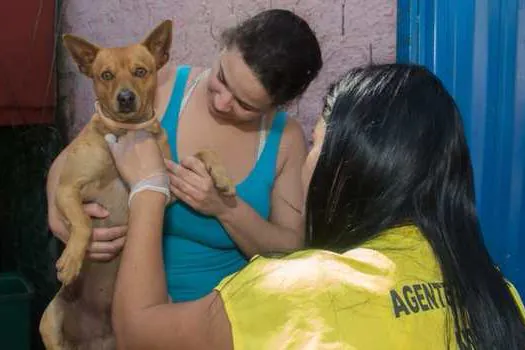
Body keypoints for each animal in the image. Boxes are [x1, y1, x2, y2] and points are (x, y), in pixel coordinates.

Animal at [40, 19, 235, 350]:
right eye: (106, 75)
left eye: (141, 71)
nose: (126, 97)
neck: (127, 131)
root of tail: (94, 340)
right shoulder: (66, 190)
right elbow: (83, 223)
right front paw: (72, 259)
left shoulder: (166, 183)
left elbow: (203, 152)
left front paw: (221, 176)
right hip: (49, 322)